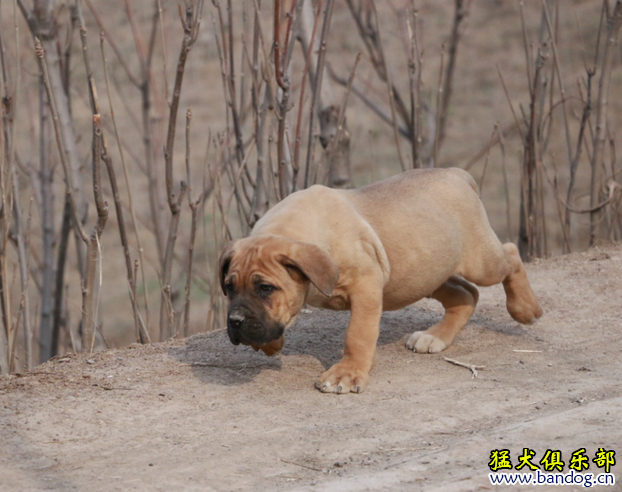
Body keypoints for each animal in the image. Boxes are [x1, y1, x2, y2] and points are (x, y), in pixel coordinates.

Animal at [222, 169, 544, 396]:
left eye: (265, 288)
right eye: (229, 288)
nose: (235, 321)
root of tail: (457, 174)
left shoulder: (366, 287)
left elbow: (357, 335)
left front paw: (347, 374)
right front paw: (271, 344)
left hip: (480, 262)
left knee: (510, 255)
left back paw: (525, 309)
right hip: (424, 273)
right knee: (466, 294)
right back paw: (435, 337)